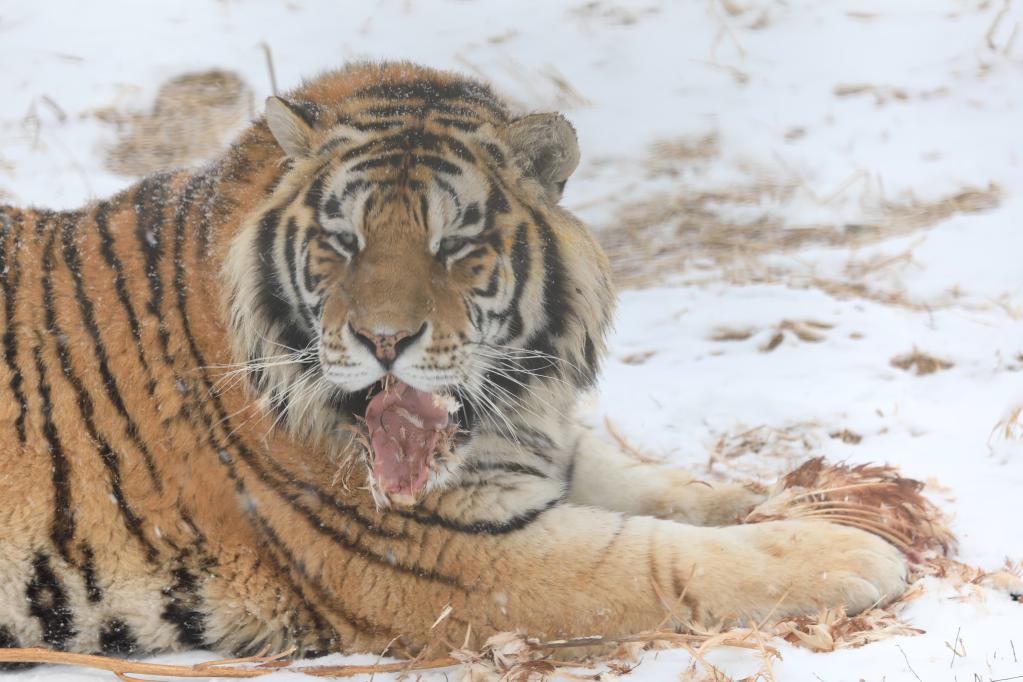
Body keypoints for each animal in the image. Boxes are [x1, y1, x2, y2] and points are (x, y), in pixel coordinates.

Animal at [0, 62, 908, 662]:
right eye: (342, 242)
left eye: (454, 246)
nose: (384, 342)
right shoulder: (459, 557)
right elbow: (665, 558)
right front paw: (854, 553)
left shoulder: (535, 446)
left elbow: (658, 485)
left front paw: (778, 499)